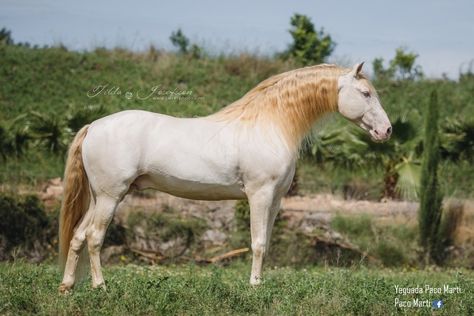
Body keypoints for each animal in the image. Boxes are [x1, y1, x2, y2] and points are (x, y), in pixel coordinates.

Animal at [58, 62, 392, 294]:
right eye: (365, 93)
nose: (386, 130)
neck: (270, 125)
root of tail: (94, 126)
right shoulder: (259, 195)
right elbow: (257, 242)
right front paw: (254, 287)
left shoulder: (275, 201)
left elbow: (266, 242)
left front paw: (260, 283)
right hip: (111, 196)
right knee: (94, 237)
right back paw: (100, 287)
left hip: (98, 197)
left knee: (77, 236)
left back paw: (67, 287)